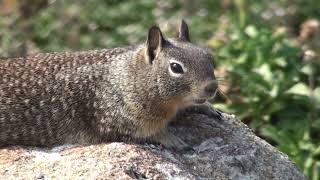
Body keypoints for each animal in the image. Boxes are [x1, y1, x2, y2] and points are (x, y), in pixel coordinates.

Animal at [0, 19, 220, 150]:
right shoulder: (117, 119)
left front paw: (207, 108)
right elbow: (150, 132)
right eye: (176, 67)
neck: (127, 78)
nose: (212, 87)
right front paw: (173, 140)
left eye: (209, 57)